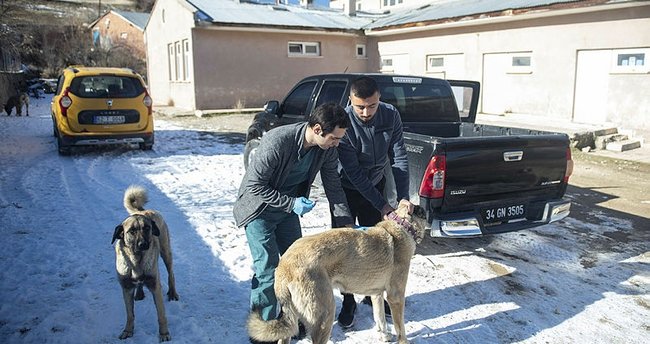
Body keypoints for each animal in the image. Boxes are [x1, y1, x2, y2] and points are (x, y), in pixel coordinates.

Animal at [111, 185, 177, 342]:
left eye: (147, 228)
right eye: (132, 231)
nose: (143, 244)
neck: (136, 261)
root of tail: (143, 210)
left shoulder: (155, 286)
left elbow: (161, 315)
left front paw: (164, 334)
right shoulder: (126, 288)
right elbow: (130, 315)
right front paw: (128, 331)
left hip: (166, 252)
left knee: (171, 274)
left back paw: (172, 292)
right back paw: (139, 293)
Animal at [247, 203, 426, 342]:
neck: (401, 226)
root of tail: (284, 266)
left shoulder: (376, 294)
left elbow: (380, 319)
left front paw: (384, 336)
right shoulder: (396, 297)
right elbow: (400, 329)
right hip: (325, 315)